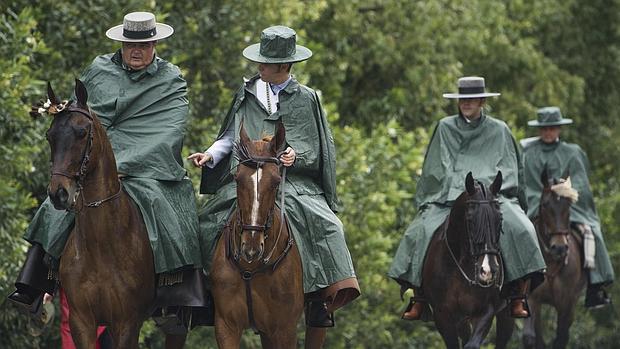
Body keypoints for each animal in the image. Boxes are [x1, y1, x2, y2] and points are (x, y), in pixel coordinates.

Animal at [211, 121, 308, 346]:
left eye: (276, 182)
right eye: (237, 179)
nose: (251, 248)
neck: (251, 268)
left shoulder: (285, 330)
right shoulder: (226, 325)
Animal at [422, 171, 512, 348]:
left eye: (500, 218)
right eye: (471, 220)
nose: (488, 271)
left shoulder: (485, 310)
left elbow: (472, 344)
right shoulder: (442, 315)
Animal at [524, 171, 588, 348]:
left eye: (569, 206)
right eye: (545, 204)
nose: (559, 248)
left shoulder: (566, 303)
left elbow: (561, 337)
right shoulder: (533, 299)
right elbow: (532, 339)